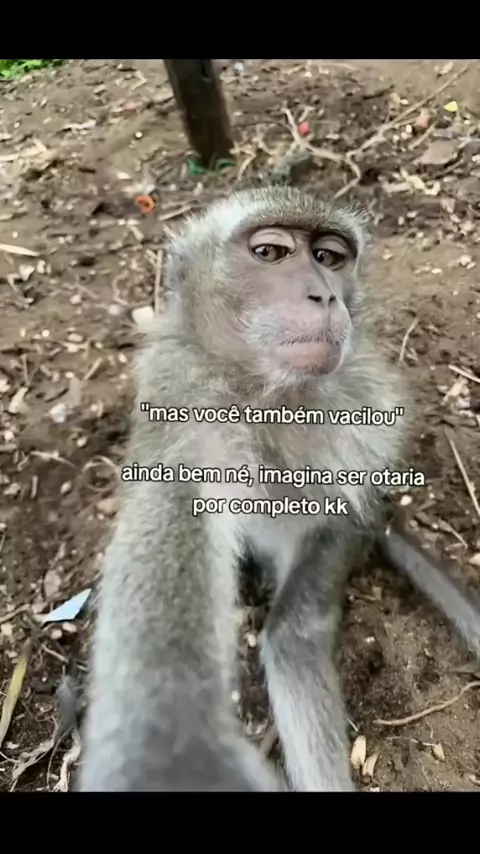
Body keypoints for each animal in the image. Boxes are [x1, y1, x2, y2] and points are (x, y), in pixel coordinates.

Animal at [78, 186, 480, 793]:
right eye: (271, 253)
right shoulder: (183, 390)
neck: (263, 390)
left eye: (330, 258)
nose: (324, 294)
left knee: (294, 637)